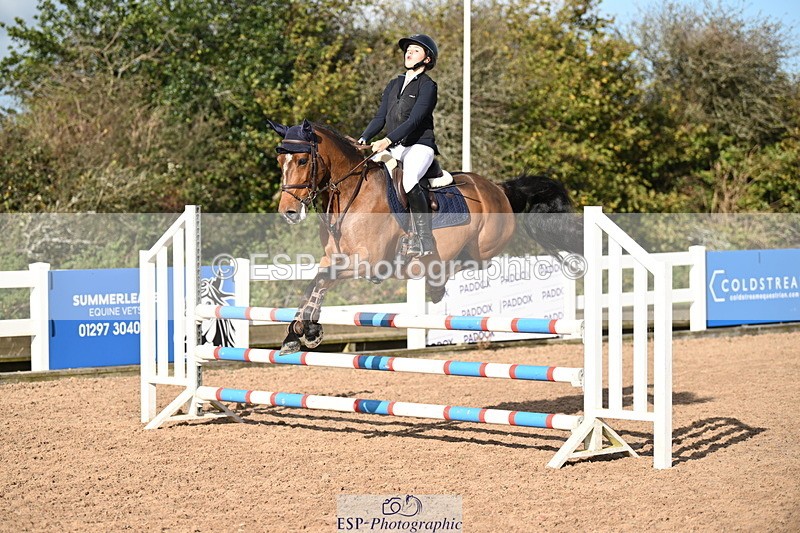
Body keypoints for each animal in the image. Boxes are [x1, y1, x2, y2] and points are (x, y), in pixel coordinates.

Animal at [267, 119, 581, 354]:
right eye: (280, 159)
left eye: (303, 160)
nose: (288, 212)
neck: (350, 194)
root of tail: (500, 189)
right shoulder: (333, 257)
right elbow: (314, 283)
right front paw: (298, 332)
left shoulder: (366, 263)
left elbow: (320, 281)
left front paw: (306, 331)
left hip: (482, 246)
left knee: (473, 262)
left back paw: (436, 285)